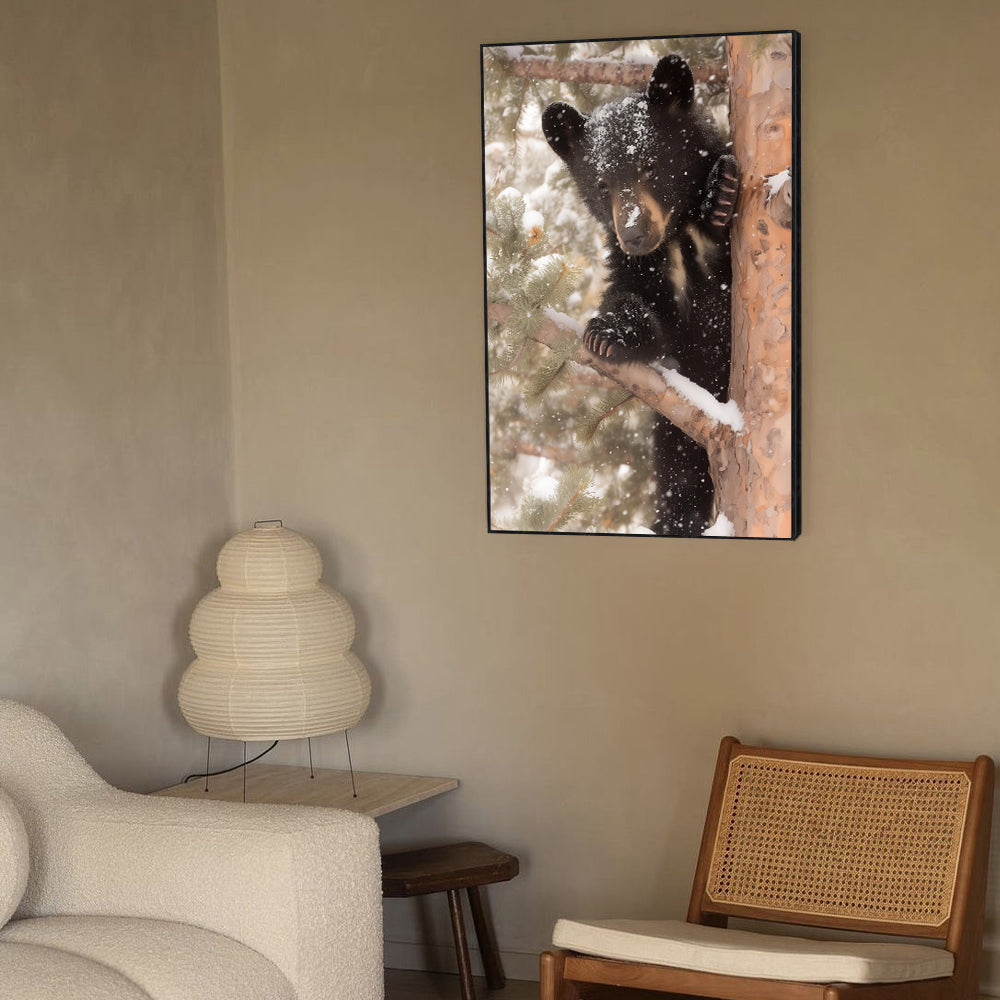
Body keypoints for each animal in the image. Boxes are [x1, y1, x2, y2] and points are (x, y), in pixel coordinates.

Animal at [541, 54, 739, 536]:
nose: (633, 234)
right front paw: (608, 334)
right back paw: (675, 521)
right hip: (675, 427)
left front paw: (720, 193)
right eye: (601, 186)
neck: (674, 240)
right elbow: (640, 307)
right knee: (678, 471)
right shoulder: (639, 270)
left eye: (649, 166)